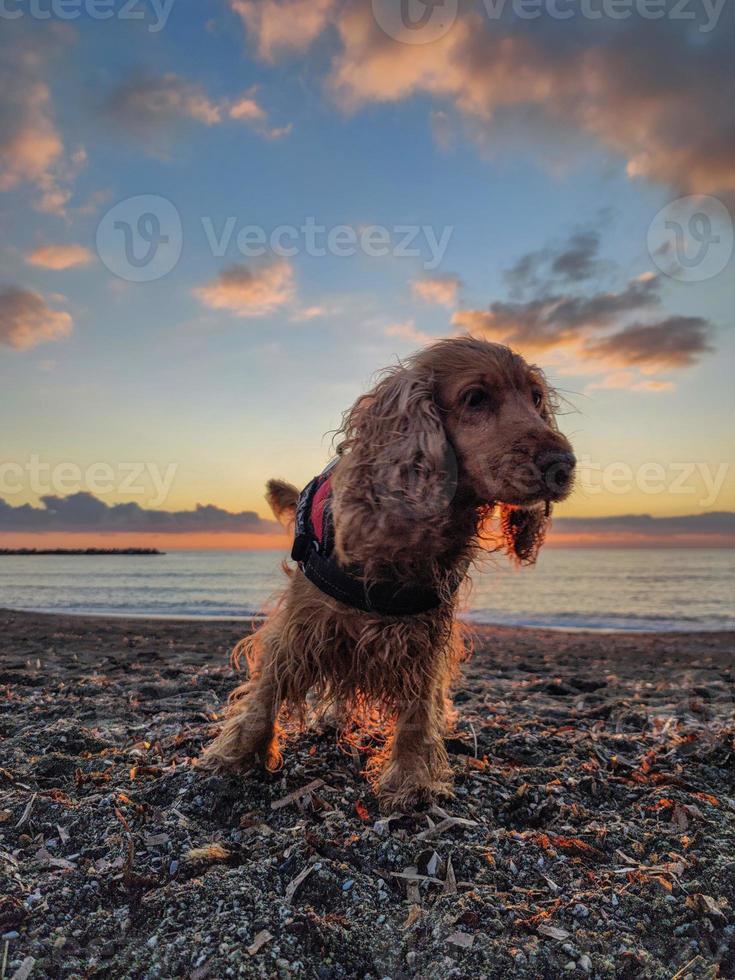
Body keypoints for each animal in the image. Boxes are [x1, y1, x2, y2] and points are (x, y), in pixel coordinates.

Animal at [200, 340, 576, 808]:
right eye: (475, 398)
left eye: (536, 398)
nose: (564, 464)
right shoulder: (301, 624)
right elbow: (266, 692)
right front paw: (237, 755)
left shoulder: (426, 636)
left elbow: (418, 708)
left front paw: (411, 778)